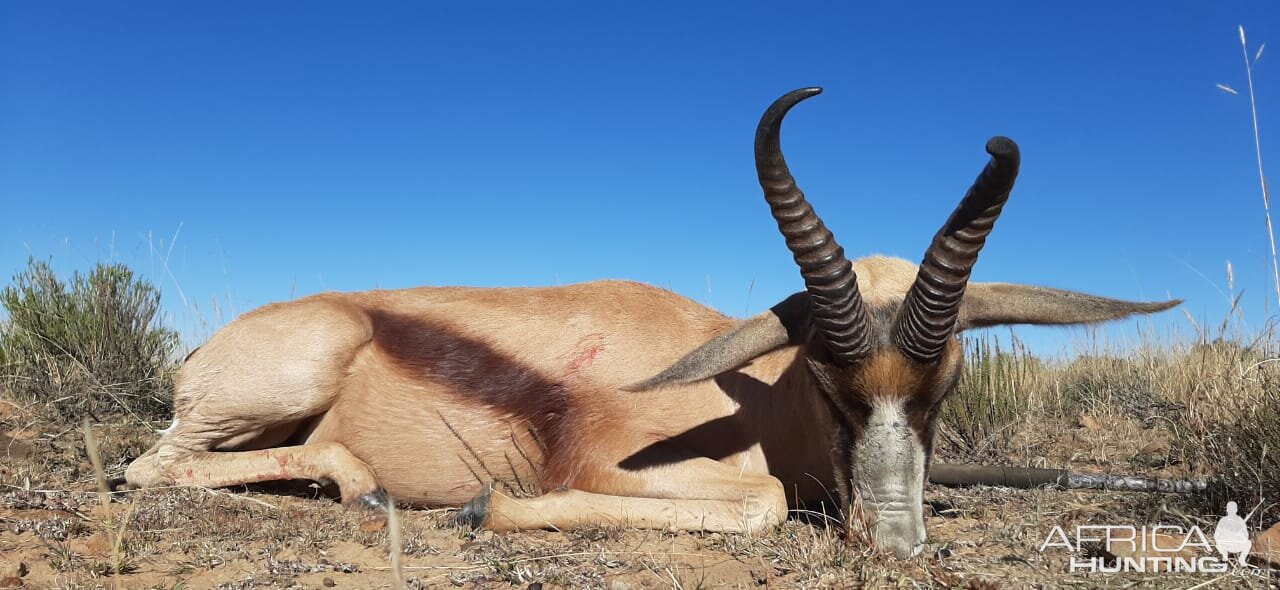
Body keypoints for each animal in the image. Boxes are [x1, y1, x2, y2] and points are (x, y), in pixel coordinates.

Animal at [122, 85, 1177, 555]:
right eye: (825, 378)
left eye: (947, 383)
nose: (895, 541)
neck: (754, 403)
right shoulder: (606, 467)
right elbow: (765, 502)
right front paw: (479, 505)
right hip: (283, 383)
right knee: (149, 467)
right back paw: (358, 487)